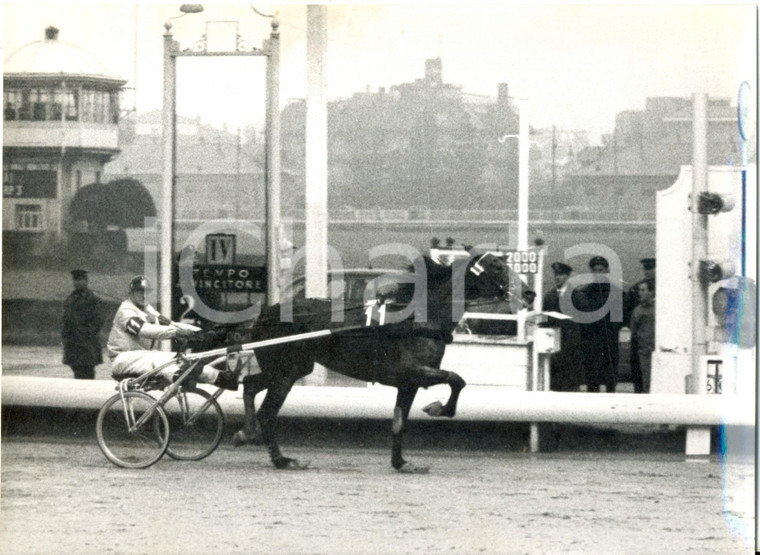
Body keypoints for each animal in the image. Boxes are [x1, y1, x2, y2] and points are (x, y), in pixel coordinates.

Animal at [235, 252, 532, 474]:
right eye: (497, 266)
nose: (529, 293)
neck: (418, 320)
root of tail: (265, 314)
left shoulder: (408, 384)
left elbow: (400, 421)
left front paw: (401, 462)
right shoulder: (415, 372)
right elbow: (457, 379)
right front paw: (439, 408)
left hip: (290, 368)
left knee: (249, 384)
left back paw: (246, 433)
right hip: (285, 373)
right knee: (267, 412)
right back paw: (282, 460)